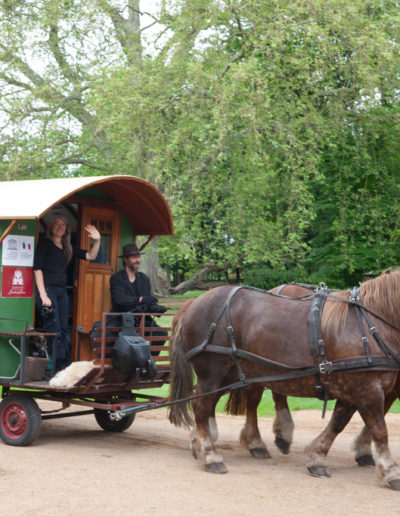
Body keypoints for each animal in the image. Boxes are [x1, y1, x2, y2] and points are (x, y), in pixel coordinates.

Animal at [168, 270, 400, 489]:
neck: (370, 324)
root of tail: (194, 302)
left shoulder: (353, 389)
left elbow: (338, 423)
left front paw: (318, 457)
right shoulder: (366, 389)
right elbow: (379, 430)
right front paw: (391, 471)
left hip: (231, 373)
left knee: (212, 404)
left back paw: (207, 444)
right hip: (212, 372)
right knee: (201, 407)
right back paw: (211, 455)